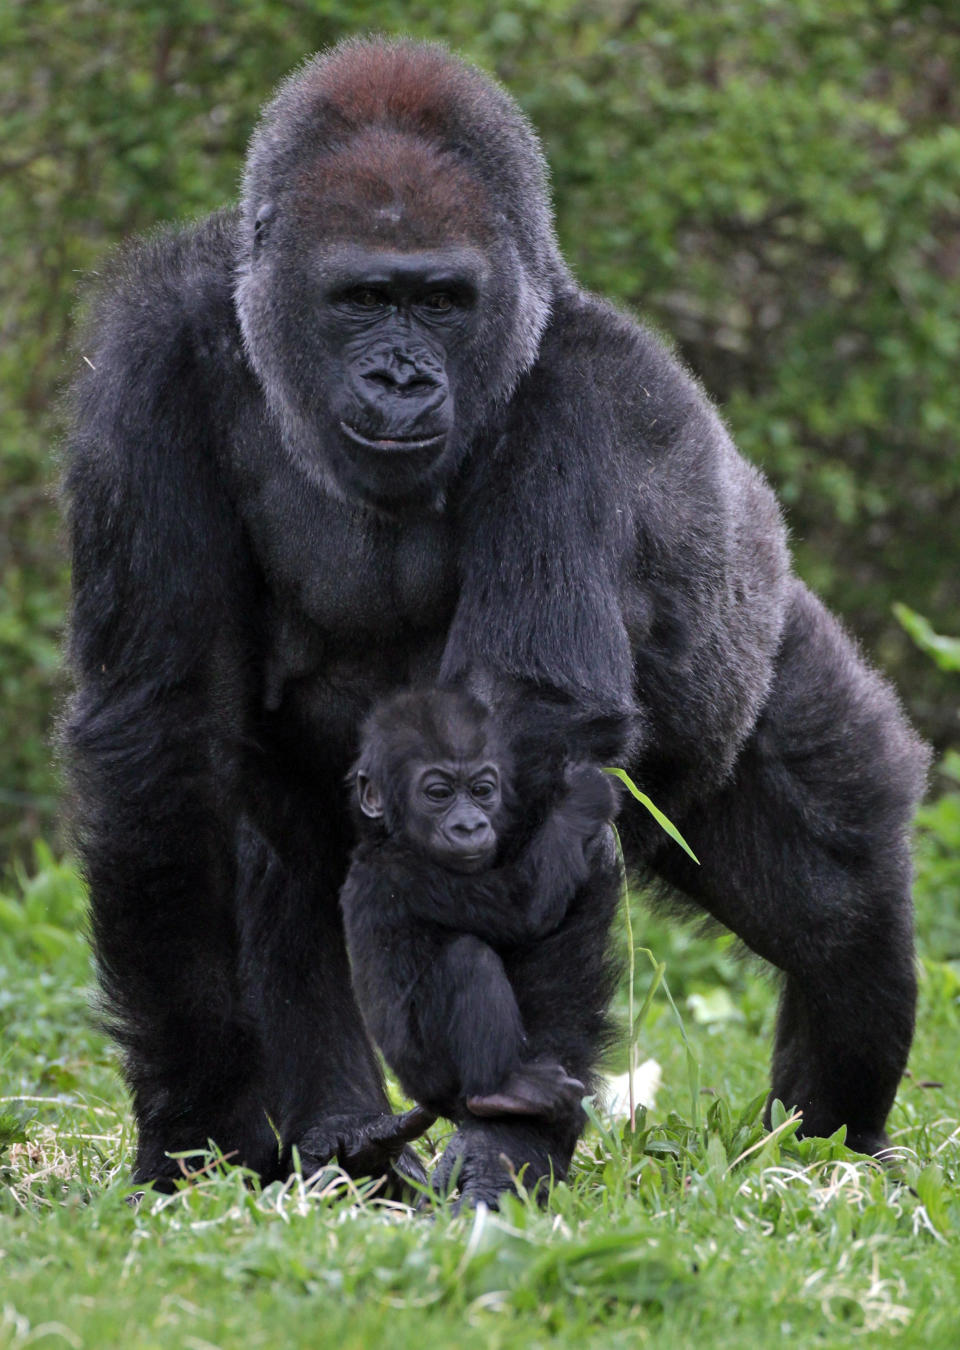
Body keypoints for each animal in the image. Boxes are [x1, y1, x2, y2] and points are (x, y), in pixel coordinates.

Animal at [341, 691, 618, 1123]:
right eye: (439, 793)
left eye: (481, 789)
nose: (470, 826)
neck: (390, 837)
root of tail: (425, 1099)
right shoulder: (415, 877)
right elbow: (523, 907)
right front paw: (584, 797)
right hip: (433, 1072)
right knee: (468, 960)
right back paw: (501, 1090)